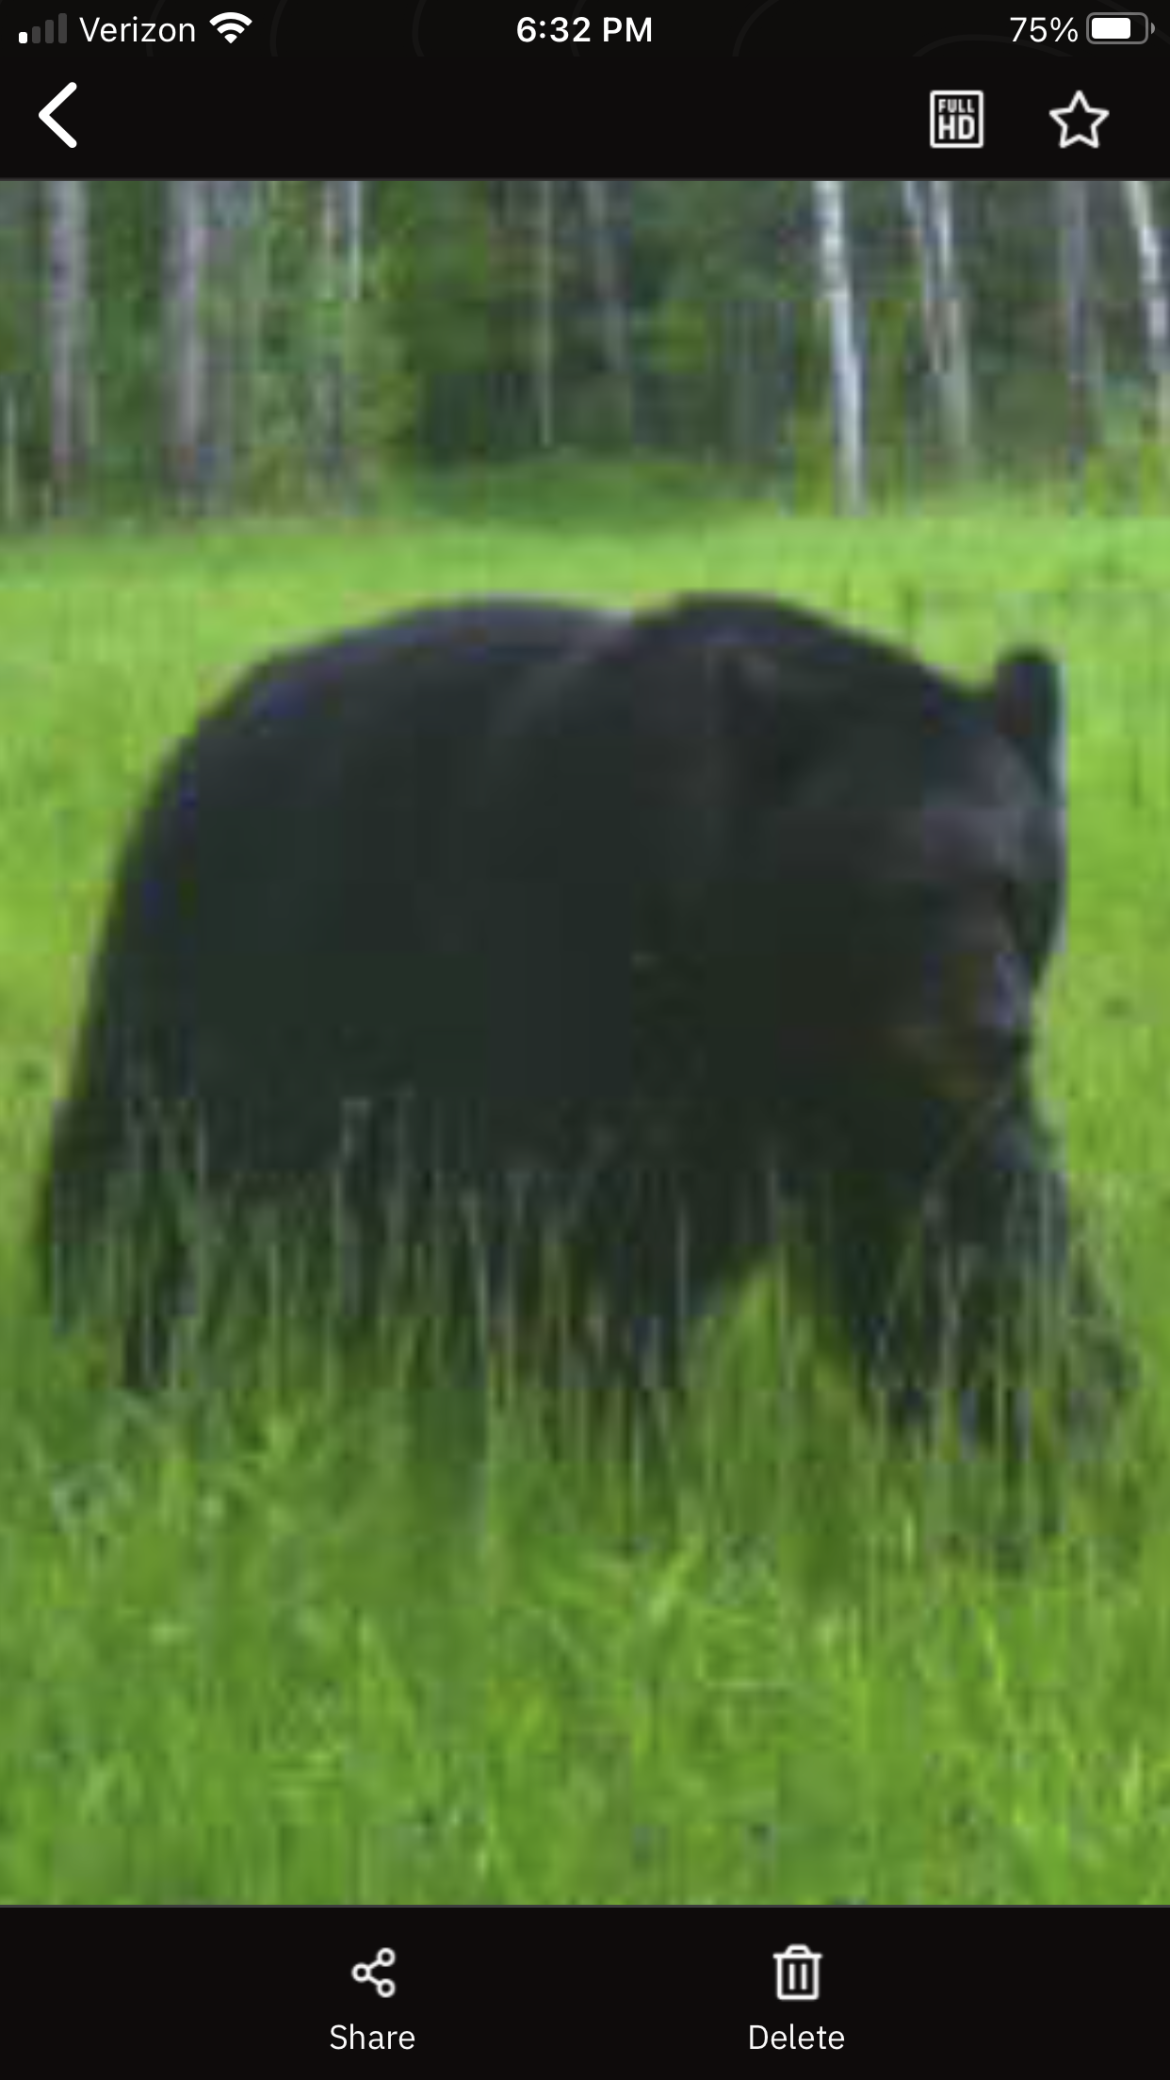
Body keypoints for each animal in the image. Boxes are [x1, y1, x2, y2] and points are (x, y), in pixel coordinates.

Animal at [37, 591, 1131, 1441]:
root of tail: (195, 742)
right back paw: (110, 1347)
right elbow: (572, 1246)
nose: (997, 1031)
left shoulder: (888, 1091)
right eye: (906, 892)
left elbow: (974, 1255)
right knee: (140, 1194)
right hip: (225, 990)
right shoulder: (566, 962)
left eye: (1014, 886)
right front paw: (609, 1445)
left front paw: (1048, 1454)